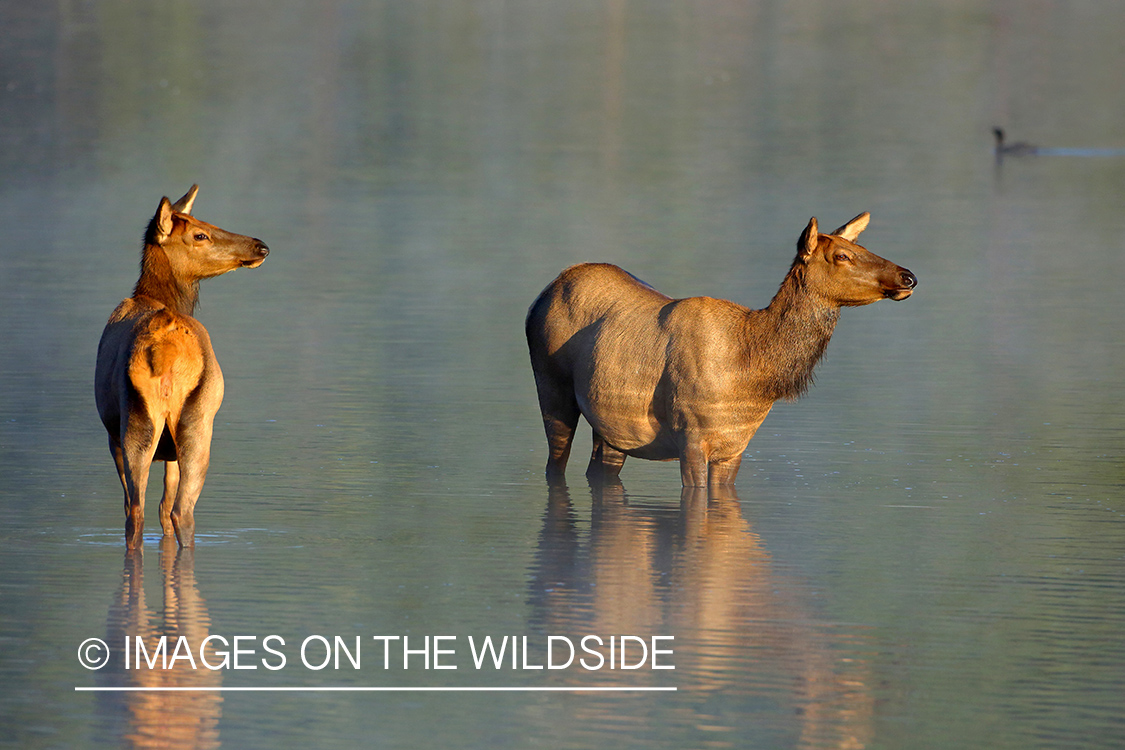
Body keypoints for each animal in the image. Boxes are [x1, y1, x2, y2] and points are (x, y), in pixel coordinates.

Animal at [95, 184, 268, 548]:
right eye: (200, 233)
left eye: (206, 222)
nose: (261, 245)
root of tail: (165, 348)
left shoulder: (127, 440)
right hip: (194, 422)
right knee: (176, 512)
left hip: (145, 423)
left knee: (142, 512)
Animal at [524, 213, 913, 490]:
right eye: (842, 255)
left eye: (864, 247)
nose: (908, 276)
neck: (752, 372)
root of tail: (541, 295)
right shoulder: (692, 436)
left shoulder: (735, 446)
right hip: (552, 388)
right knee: (554, 464)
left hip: (611, 426)